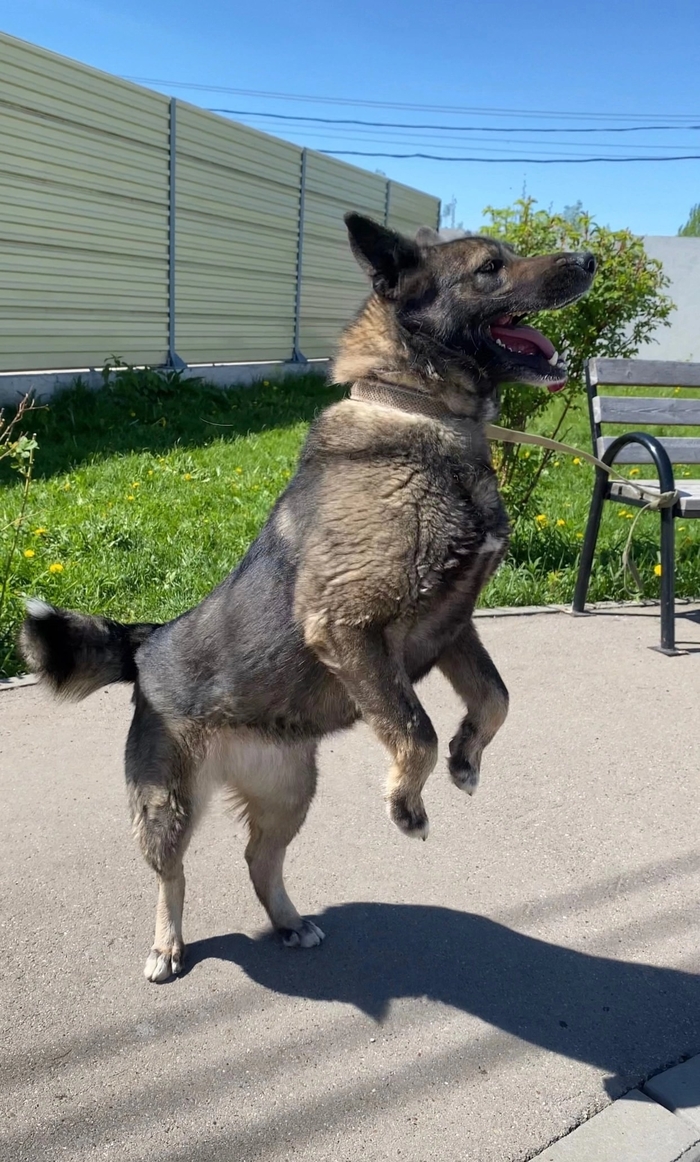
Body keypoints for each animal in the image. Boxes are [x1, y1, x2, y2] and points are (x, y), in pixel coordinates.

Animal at [20, 214, 595, 981]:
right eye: (489, 267)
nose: (589, 259)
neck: (418, 411)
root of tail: (149, 639)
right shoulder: (350, 624)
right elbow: (414, 727)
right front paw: (407, 799)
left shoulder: (452, 627)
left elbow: (496, 698)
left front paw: (467, 758)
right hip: (167, 805)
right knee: (173, 875)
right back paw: (168, 943)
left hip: (289, 794)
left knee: (258, 857)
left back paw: (289, 920)